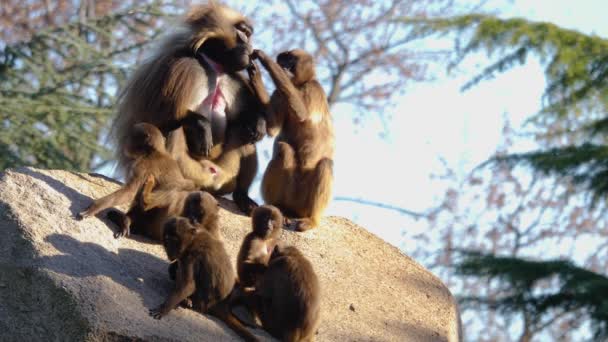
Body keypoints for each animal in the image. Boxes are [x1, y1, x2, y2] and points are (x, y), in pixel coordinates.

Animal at [247, 49, 332, 231]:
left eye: (290, 61)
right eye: (283, 61)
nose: (284, 67)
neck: (298, 85)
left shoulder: (313, 88)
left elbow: (302, 114)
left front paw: (265, 60)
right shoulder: (279, 93)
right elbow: (273, 130)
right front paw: (255, 75)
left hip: (304, 203)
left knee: (325, 164)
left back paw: (312, 220)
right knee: (283, 149)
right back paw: (280, 209)